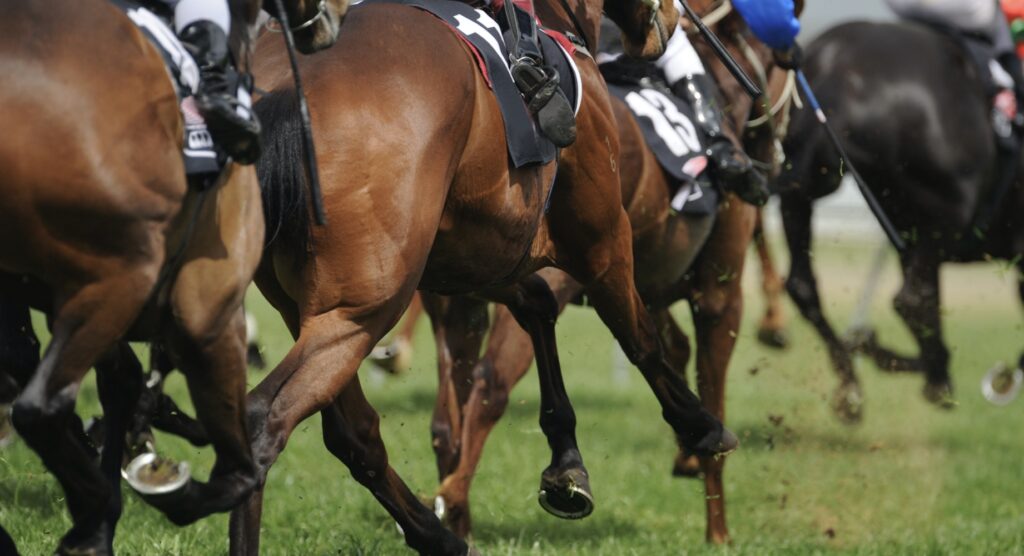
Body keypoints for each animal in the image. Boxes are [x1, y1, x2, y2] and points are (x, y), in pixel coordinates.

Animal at [0, 2, 346, 552]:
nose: (339, 11)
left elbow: (117, 380)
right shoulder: (210, 313)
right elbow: (239, 470)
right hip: (123, 279)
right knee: (40, 405)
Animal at [235, 0, 741, 552]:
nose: (671, 21)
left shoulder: (474, 258)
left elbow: (537, 307)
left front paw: (566, 466)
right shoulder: (602, 237)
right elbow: (640, 338)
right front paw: (702, 427)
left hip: (307, 306)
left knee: (354, 434)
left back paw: (438, 535)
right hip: (361, 310)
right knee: (265, 421)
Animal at [421, 0, 798, 544]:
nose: (769, 159)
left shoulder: (644, 286)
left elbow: (670, 350)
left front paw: (687, 452)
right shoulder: (716, 294)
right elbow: (706, 384)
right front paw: (718, 528)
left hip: (454, 294)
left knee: (448, 417)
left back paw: (459, 517)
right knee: (492, 385)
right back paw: (467, 494)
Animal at [774, 20, 1024, 421]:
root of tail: (839, 67)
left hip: (809, 188)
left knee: (803, 285)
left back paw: (854, 382)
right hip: (945, 213)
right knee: (913, 299)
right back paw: (935, 378)